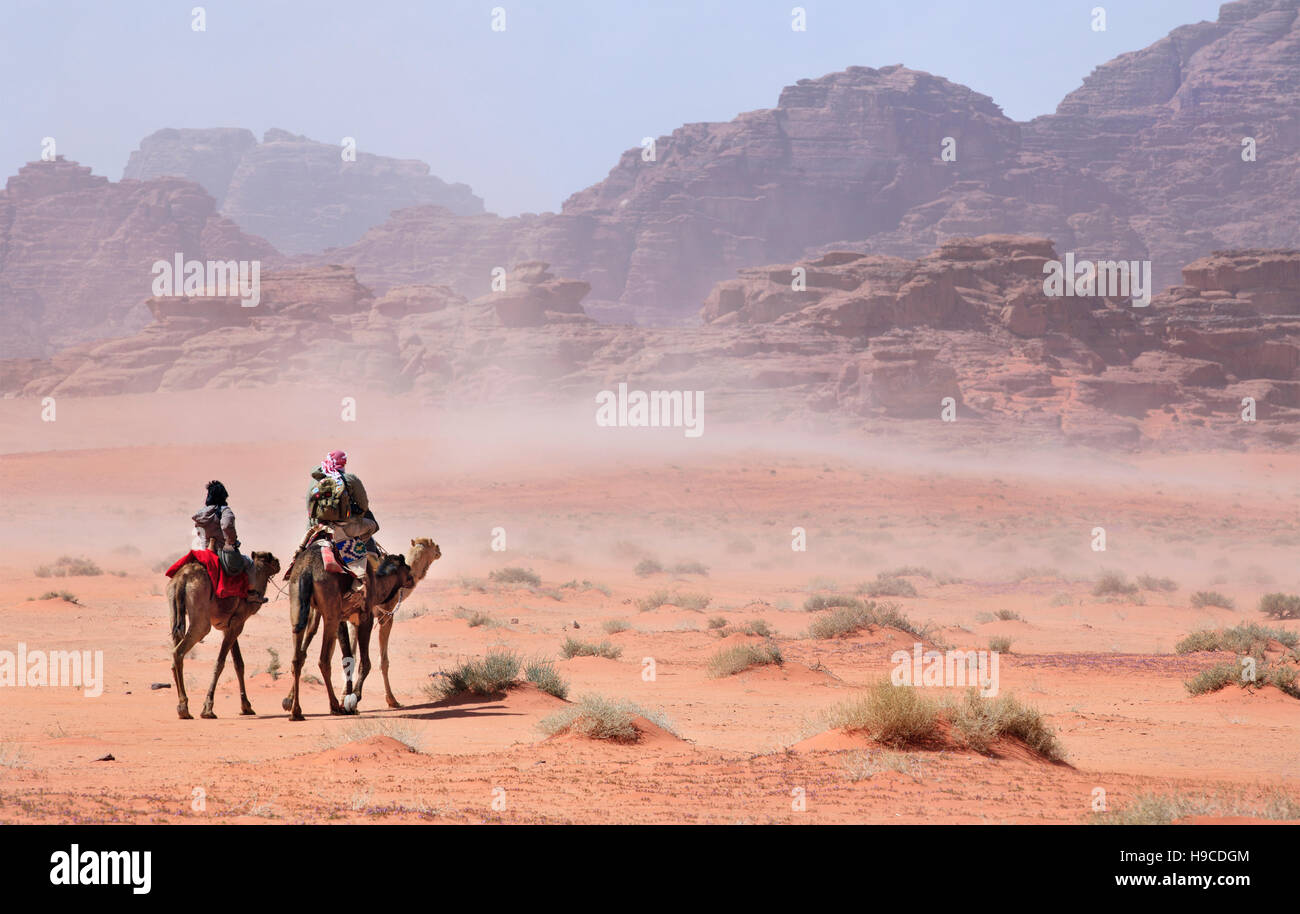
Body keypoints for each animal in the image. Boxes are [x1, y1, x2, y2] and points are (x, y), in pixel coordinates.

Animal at [169, 551, 280, 722]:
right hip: (201, 617)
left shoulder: (229, 626)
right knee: (179, 651)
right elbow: (220, 663)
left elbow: (238, 664)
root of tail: (182, 578)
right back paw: (184, 708)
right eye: (269, 557)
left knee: (176, 648)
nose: (278, 562)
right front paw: (208, 709)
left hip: (174, 609)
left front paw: (246, 707)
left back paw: (182, 707)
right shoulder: (237, 624)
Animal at [282, 543, 413, 722]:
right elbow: (365, 662)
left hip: (297, 604)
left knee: (297, 658)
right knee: (323, 660)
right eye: (407, 567)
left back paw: (296, 711)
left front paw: (349, 701)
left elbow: (347, 658)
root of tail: (306, 570)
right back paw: (334, 706)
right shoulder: (365, 617)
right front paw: (354, 699)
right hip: (330, 612)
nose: (412, 578)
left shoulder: (341, 617)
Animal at [338, 540, 444, 712]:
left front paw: (344, 699)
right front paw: (392, 700)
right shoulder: (386, 616)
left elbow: (351, 656)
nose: (439, 551)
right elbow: (384, 661)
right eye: (433, 545)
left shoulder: (354, 620)